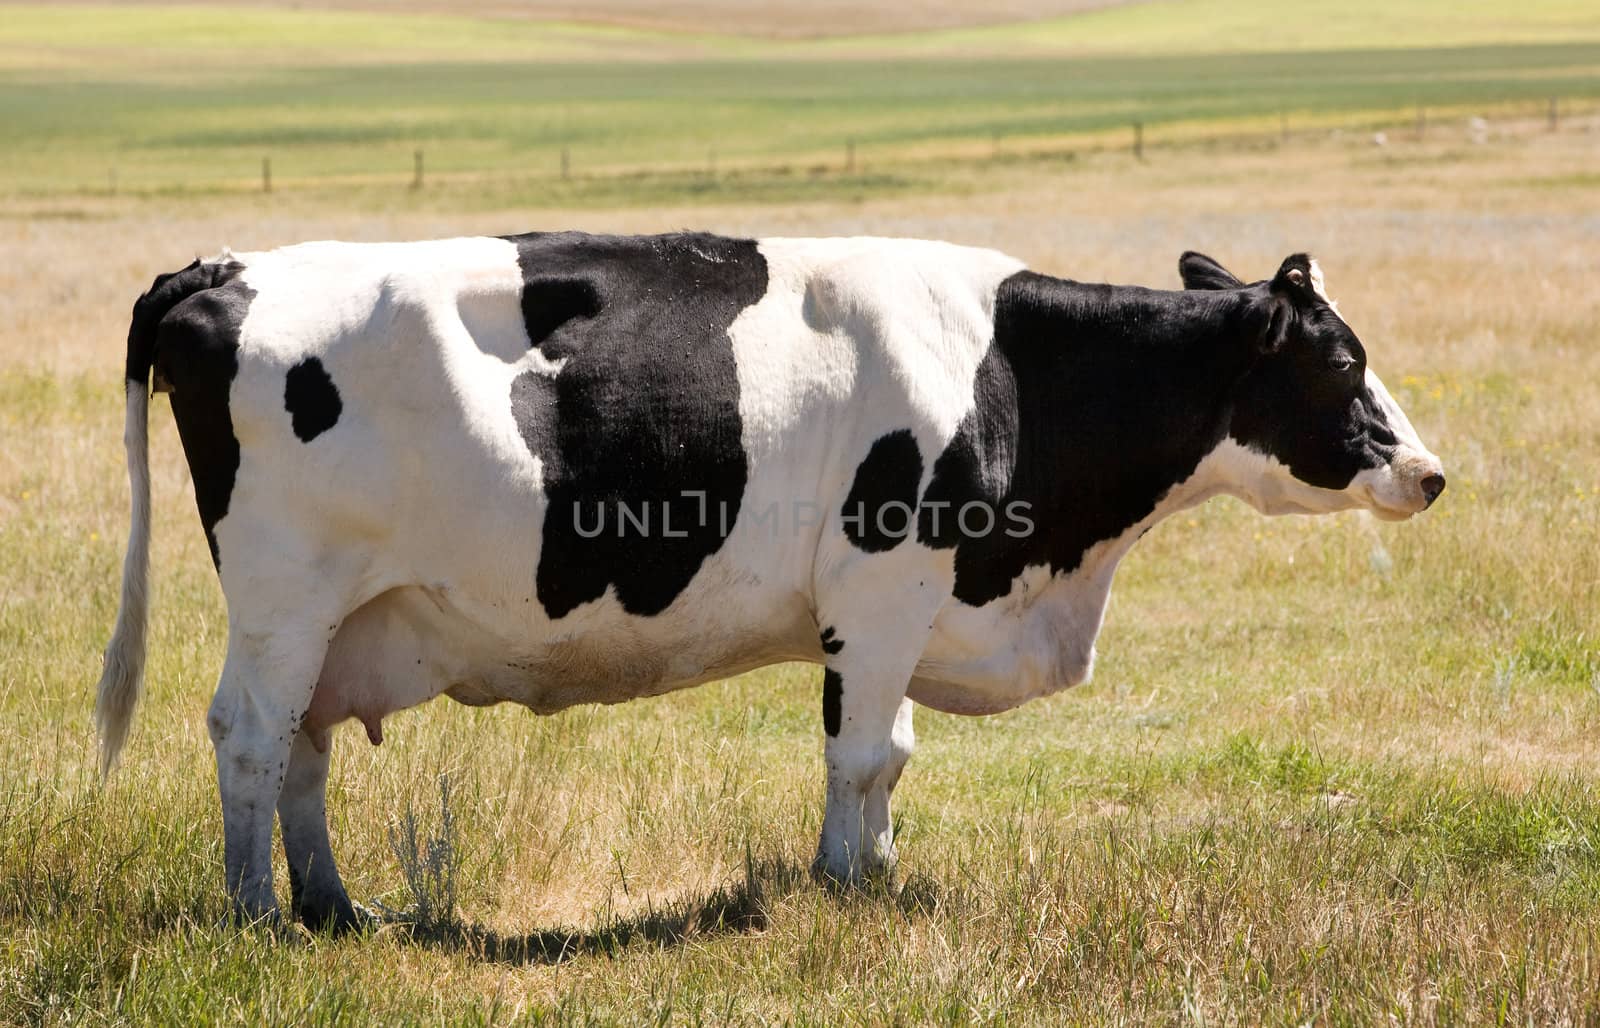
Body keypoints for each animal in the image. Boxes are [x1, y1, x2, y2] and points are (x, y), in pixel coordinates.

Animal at [96, 232, 1452, 928]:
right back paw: (258, 912)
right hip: (286, 592)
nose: (1431, 472)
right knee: (251, 733)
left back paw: (337, 904)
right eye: (1341, 362)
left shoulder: (906, 604)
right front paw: (845, 883)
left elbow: (890, 753)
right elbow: (861, 751)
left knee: (306, 743)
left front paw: (883, 870)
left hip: (342, 612)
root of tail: (220, 266)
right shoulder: (885, 582)